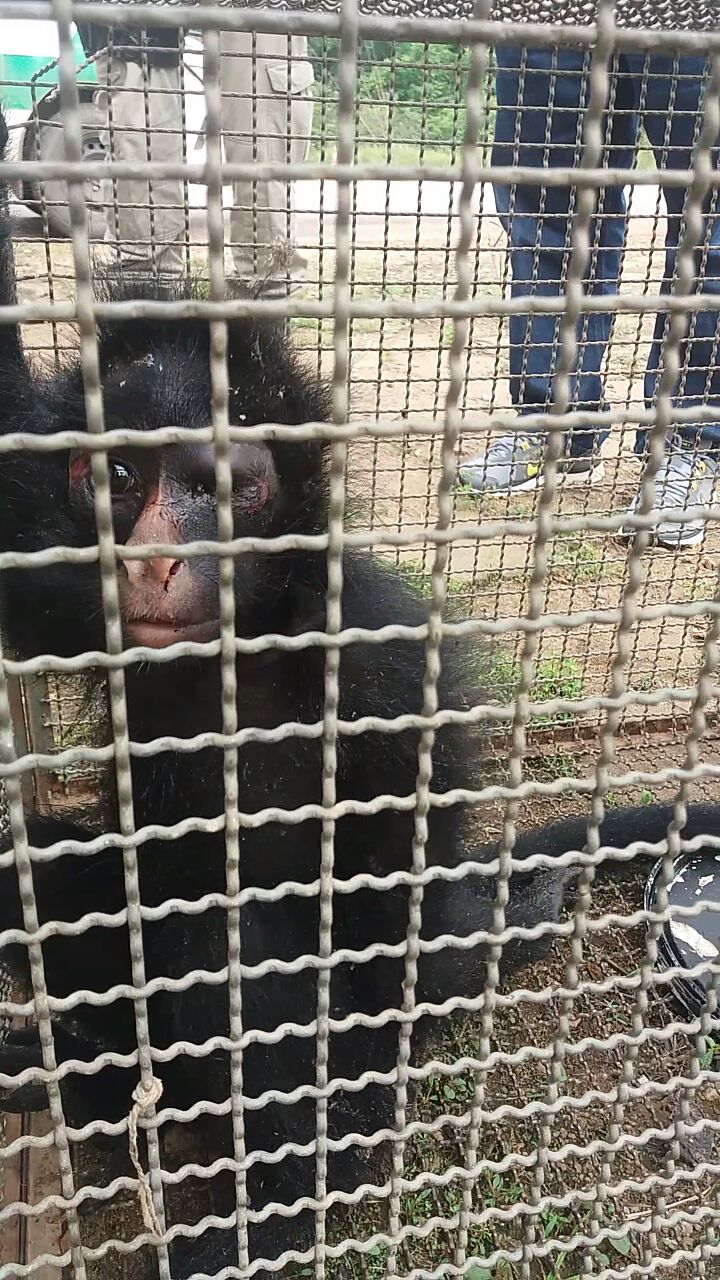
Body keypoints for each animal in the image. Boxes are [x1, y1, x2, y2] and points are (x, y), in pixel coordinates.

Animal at [0, 109, 719, 1277]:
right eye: (119, 479)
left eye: (216, 486)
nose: (152, 558)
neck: (240, 653)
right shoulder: (62, 561)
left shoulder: (377, 668)